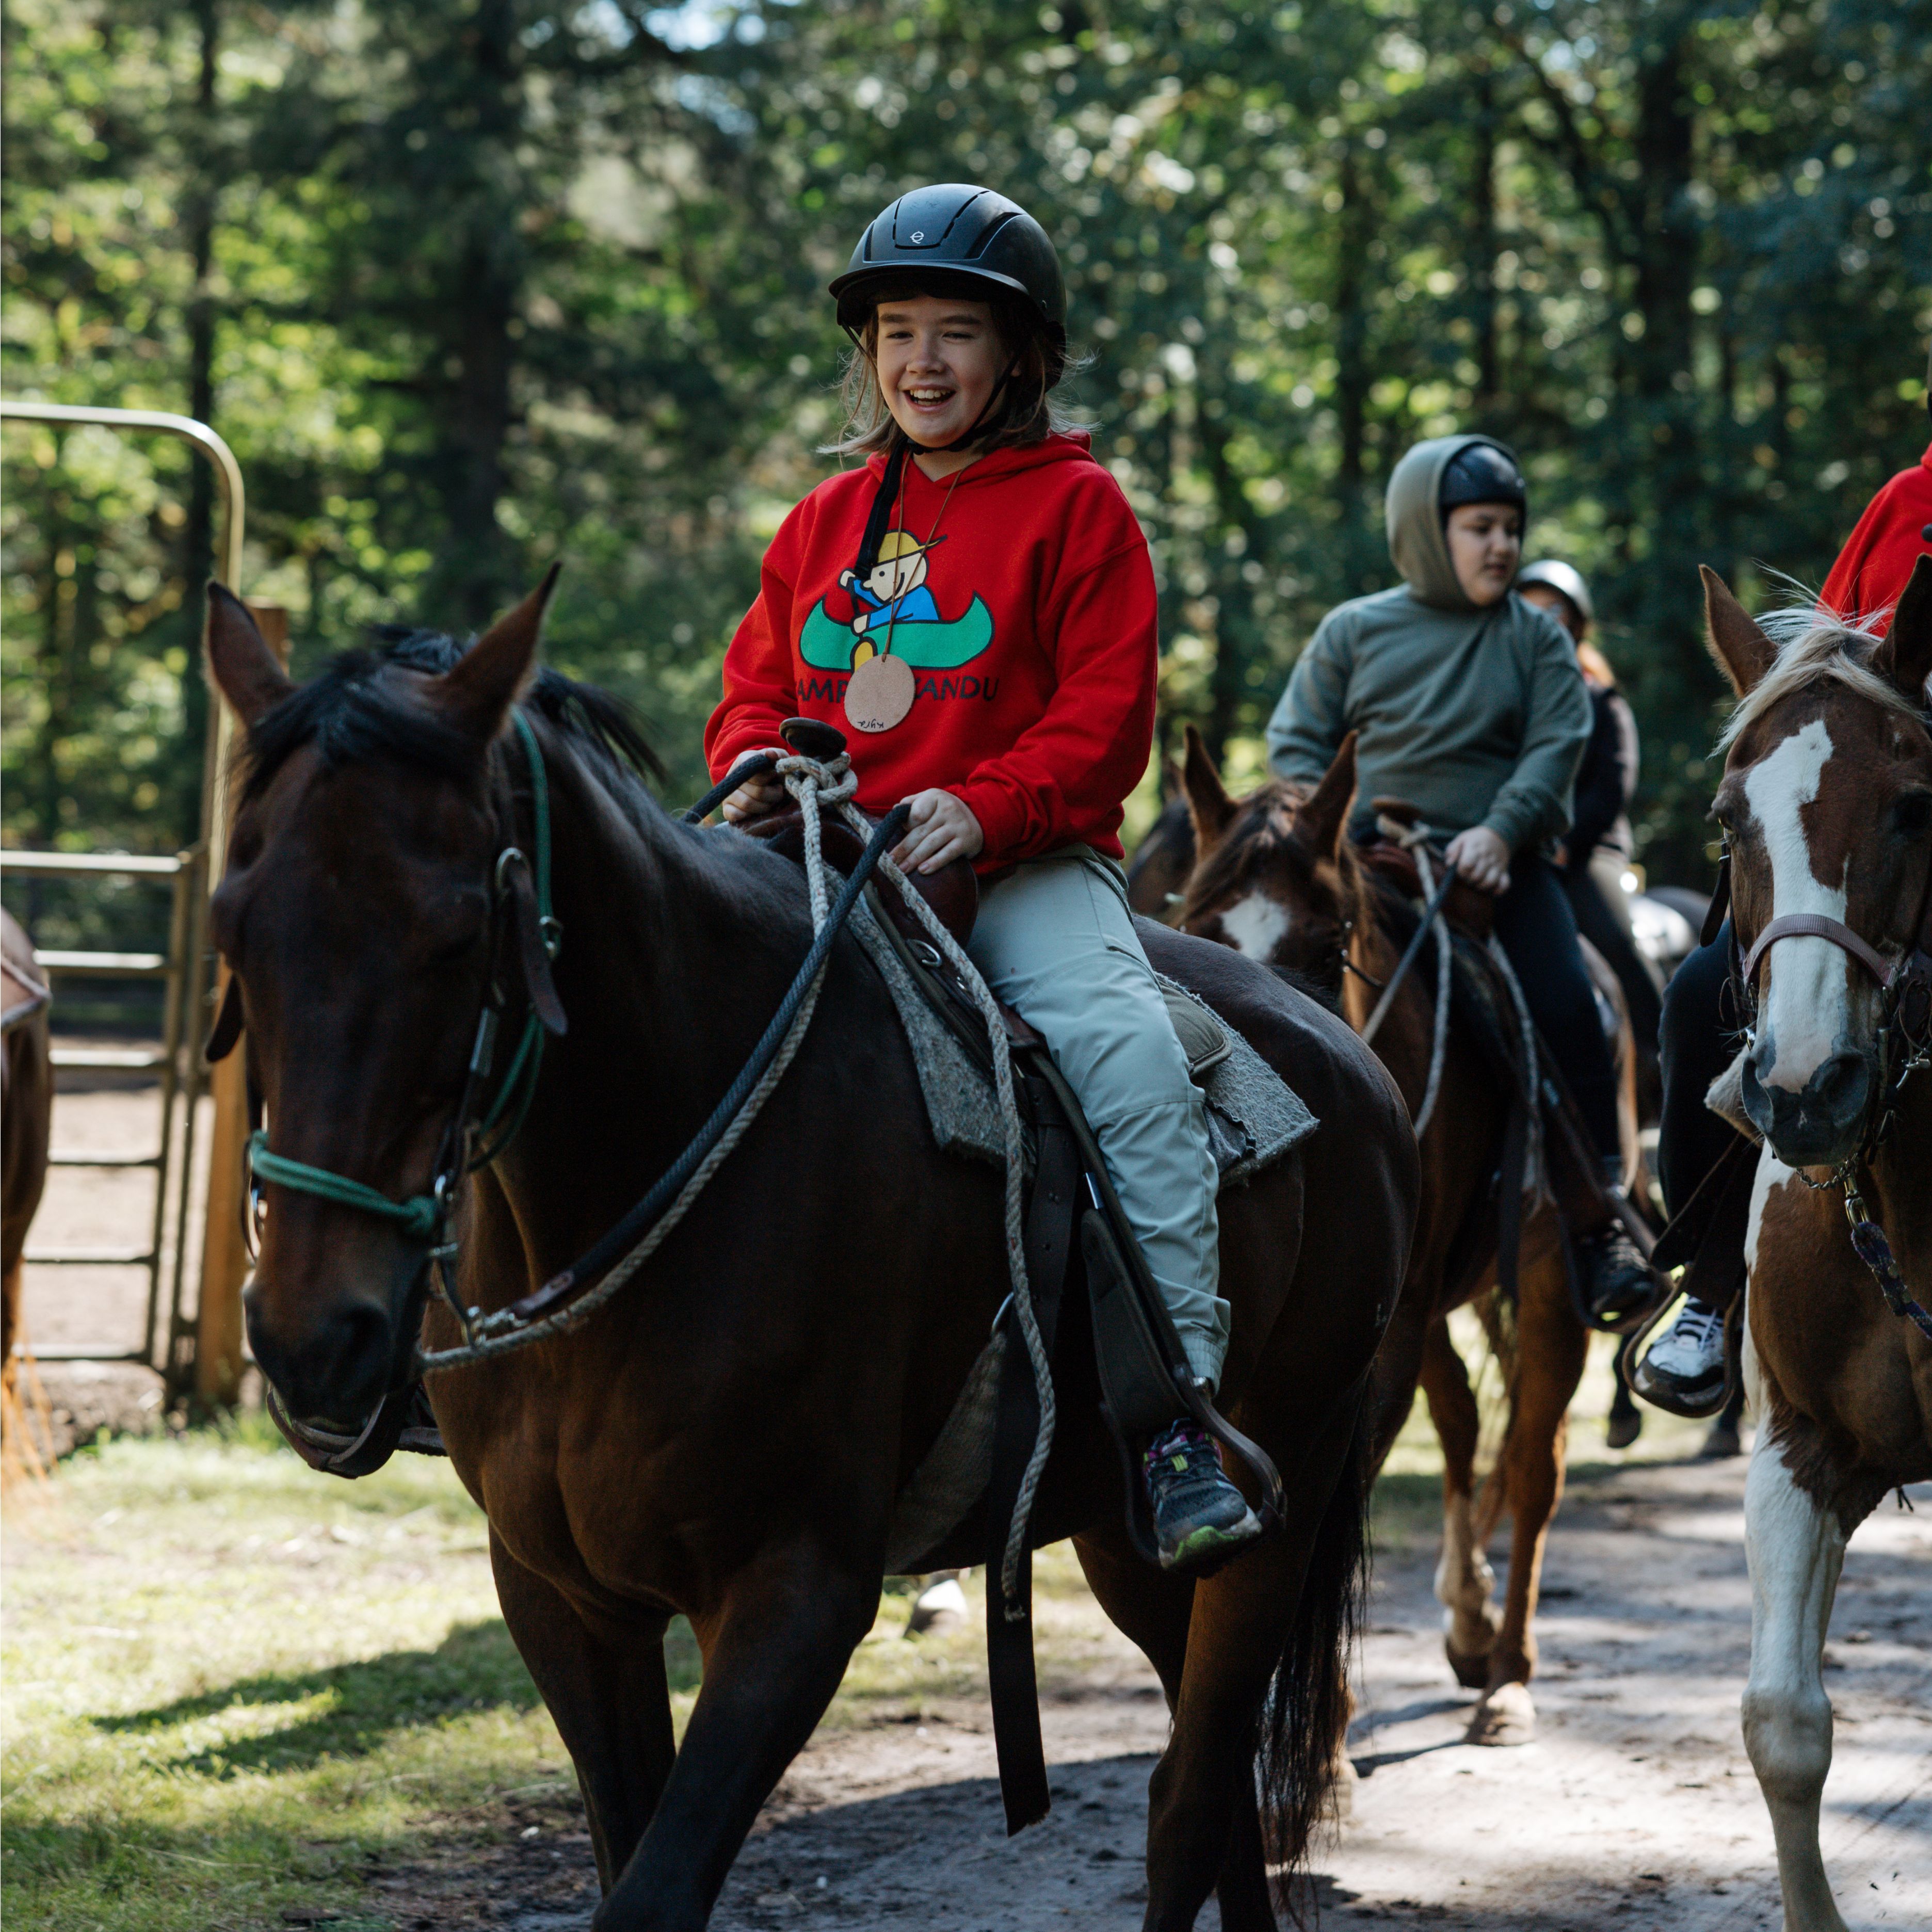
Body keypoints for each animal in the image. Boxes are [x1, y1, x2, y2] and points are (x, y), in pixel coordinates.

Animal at [207, 583, 1422, 1932]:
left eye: (456, 933)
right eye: (233, 925)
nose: (313, 1337)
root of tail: (1357, 1067)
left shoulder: (795, 1597)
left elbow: (656, 1890)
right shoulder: (563, 1598)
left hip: (1285, 1494)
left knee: (1194, 1791)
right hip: (1125, 1541)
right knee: (1210, 1790)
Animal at [1167, 726, 1638, 1754]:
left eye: (1330, 940)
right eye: (1203, 930)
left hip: (1543, 1279)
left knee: (1533, 1463)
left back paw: (1506, 1675)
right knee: (1462, 1423)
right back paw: (1465, 1618)